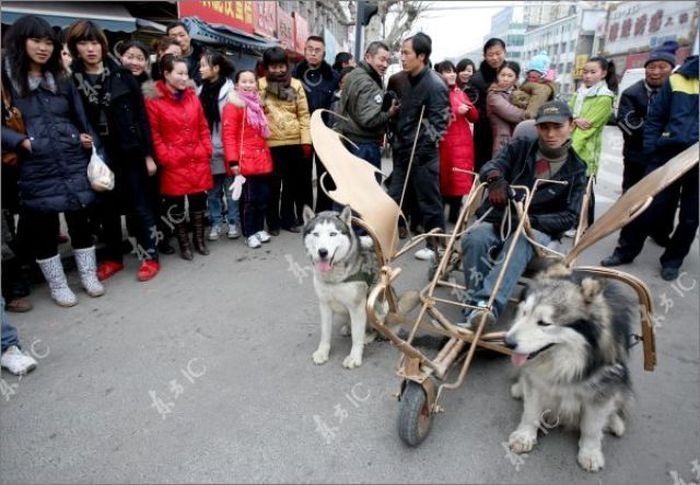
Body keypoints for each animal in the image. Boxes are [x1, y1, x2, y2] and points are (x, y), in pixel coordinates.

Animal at [300, 204, 378, 366]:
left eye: (332, 234)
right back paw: (348, 327)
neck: (334, 278)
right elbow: (325, 333)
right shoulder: (324, 305)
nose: (322, 252)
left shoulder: (357, 307)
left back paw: (368, 336)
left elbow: (357, 336)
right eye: (316, 234)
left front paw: (354, 357)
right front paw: (323, 352)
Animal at [504, 262, 636, 470]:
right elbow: (531, 412)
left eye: (544, 323)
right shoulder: (536, 382)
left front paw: (590, 452)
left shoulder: (603, 387)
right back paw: (519, 389)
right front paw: (525, 436)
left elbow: (592, 426)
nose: (507, 343)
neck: (567, 362)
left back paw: (615, 422)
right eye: (524, 312)